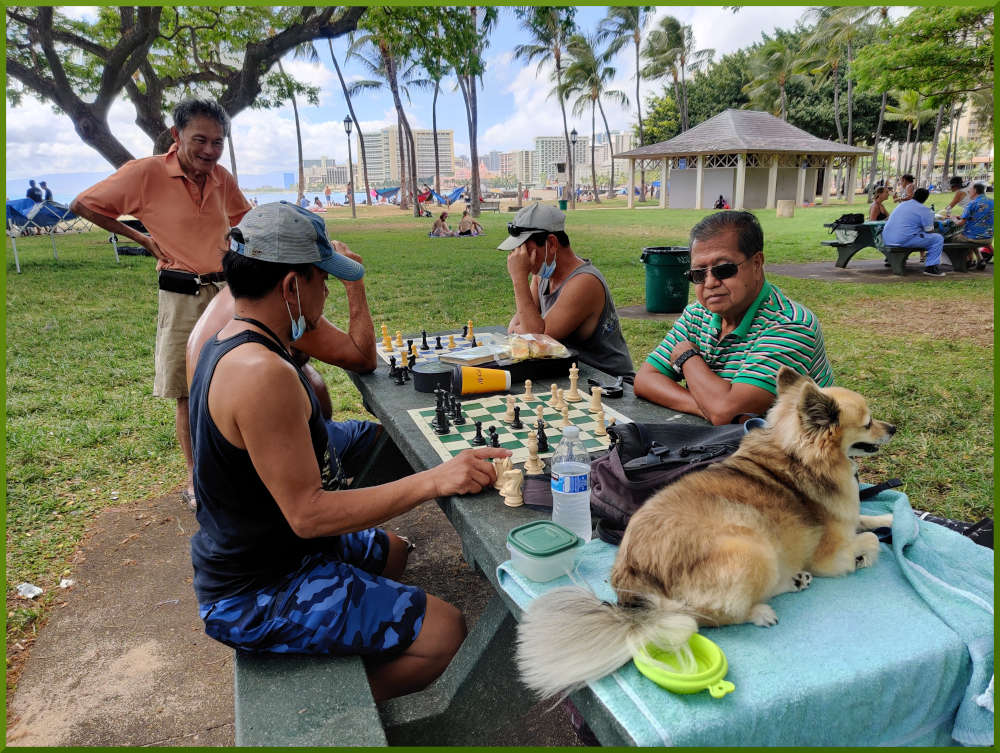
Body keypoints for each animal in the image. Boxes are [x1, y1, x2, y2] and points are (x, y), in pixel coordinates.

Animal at [520, 364, 896, 700]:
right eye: (868, 423)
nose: (893, 427)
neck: (796, 454)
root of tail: (634, 584)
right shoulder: (830, 556)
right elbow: (869, 540)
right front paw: (866, 555)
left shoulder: (848, 518)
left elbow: (867, 520)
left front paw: (890, 519)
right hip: (753, 548)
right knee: (715, 616)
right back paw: (762, 610)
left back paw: (793, 580)